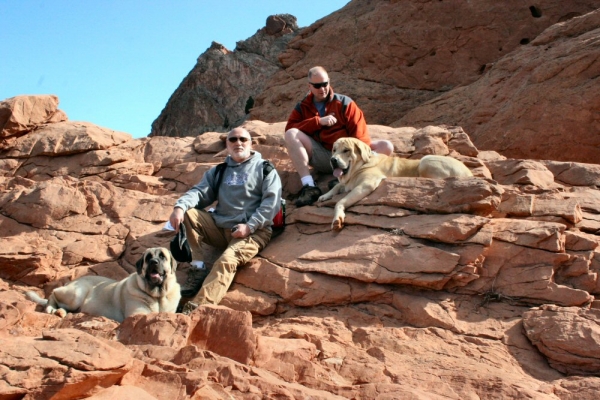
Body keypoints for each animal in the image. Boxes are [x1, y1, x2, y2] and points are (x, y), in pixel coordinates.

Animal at [26, 247, 180, 322]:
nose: (154, 262)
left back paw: (61, 312)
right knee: (53, 293)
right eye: (148, 258)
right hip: (76, 294)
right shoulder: (137, 313)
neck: (158, 295)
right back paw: (52, 308)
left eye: (162, 256)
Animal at [318, 138, 474, 230]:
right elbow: (337, 185)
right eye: (334, 150)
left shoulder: (366, 184)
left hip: (426, 160)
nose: (333, 160)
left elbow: (340, 202)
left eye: (346, 150)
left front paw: (337, 218)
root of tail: (470, 173)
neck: (359, 166)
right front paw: (325, 196)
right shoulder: (348, 183)